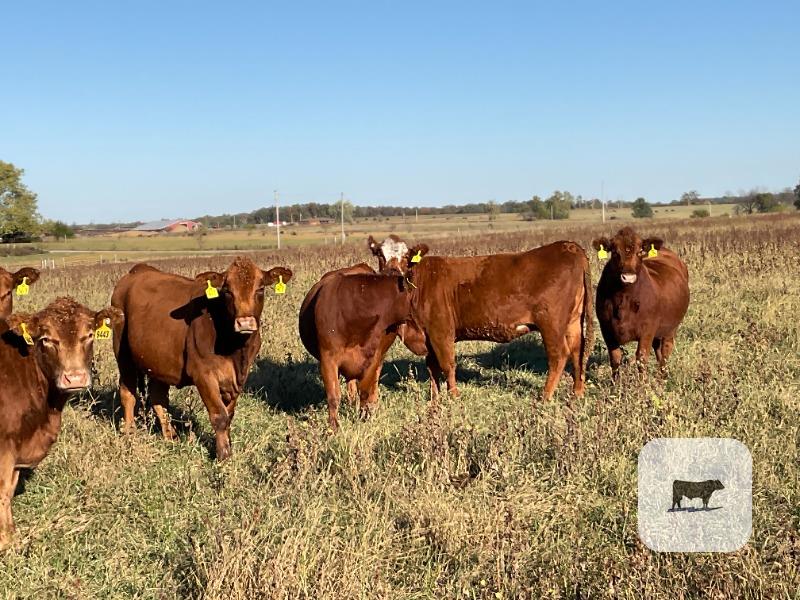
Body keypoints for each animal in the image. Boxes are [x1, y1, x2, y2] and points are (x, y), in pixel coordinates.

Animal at [0, 297, 123, 547]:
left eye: (89, 335)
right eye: (46, 339)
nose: (74, 377)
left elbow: (8, 490)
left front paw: (11, 536)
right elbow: (2, 491)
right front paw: (4, 541)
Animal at [110, 257, 292, 460]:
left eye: (260, 288)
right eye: (227, 290)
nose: (245, 322)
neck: (235, 350)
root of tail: (136, 271)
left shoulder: (240, 377)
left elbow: (229, 414)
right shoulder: (203, 374)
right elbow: (219, 415)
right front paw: (223, 455)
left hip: (158, 361)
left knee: (158, 398)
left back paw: (171, 437)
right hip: (123, 353)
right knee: (128, 393)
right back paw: (129, 434)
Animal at [298, 270, 415, 430]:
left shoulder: (373, 359)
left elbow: (365, 391)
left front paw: (364, 419)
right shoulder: (328, 359)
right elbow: (333, 396)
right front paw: (334, 427)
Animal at [368, 235, 594, 402]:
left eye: (406, 255)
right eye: (379, 254)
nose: (391, 272)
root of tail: (569, 246)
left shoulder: (441, 331)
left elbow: (447, 365)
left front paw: (454, 396)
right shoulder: (428, 335)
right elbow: (432, 367)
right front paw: (435, 399)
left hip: (551, 323)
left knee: (559, 355)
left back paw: (544, 397)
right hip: (573, 322)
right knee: (577, 351)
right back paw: (577, 393)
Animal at [592, 227, 689, 378]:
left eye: (639, 252)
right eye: (615, 252)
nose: (628, 277)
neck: (624, 298)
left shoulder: (647, 329)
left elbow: (641, 358)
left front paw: (642, 383)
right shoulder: (606, 328)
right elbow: (615, 358)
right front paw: (615, 382)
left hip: (671, 327)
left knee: (666, 349)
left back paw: (663, 376)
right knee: (658, 350)